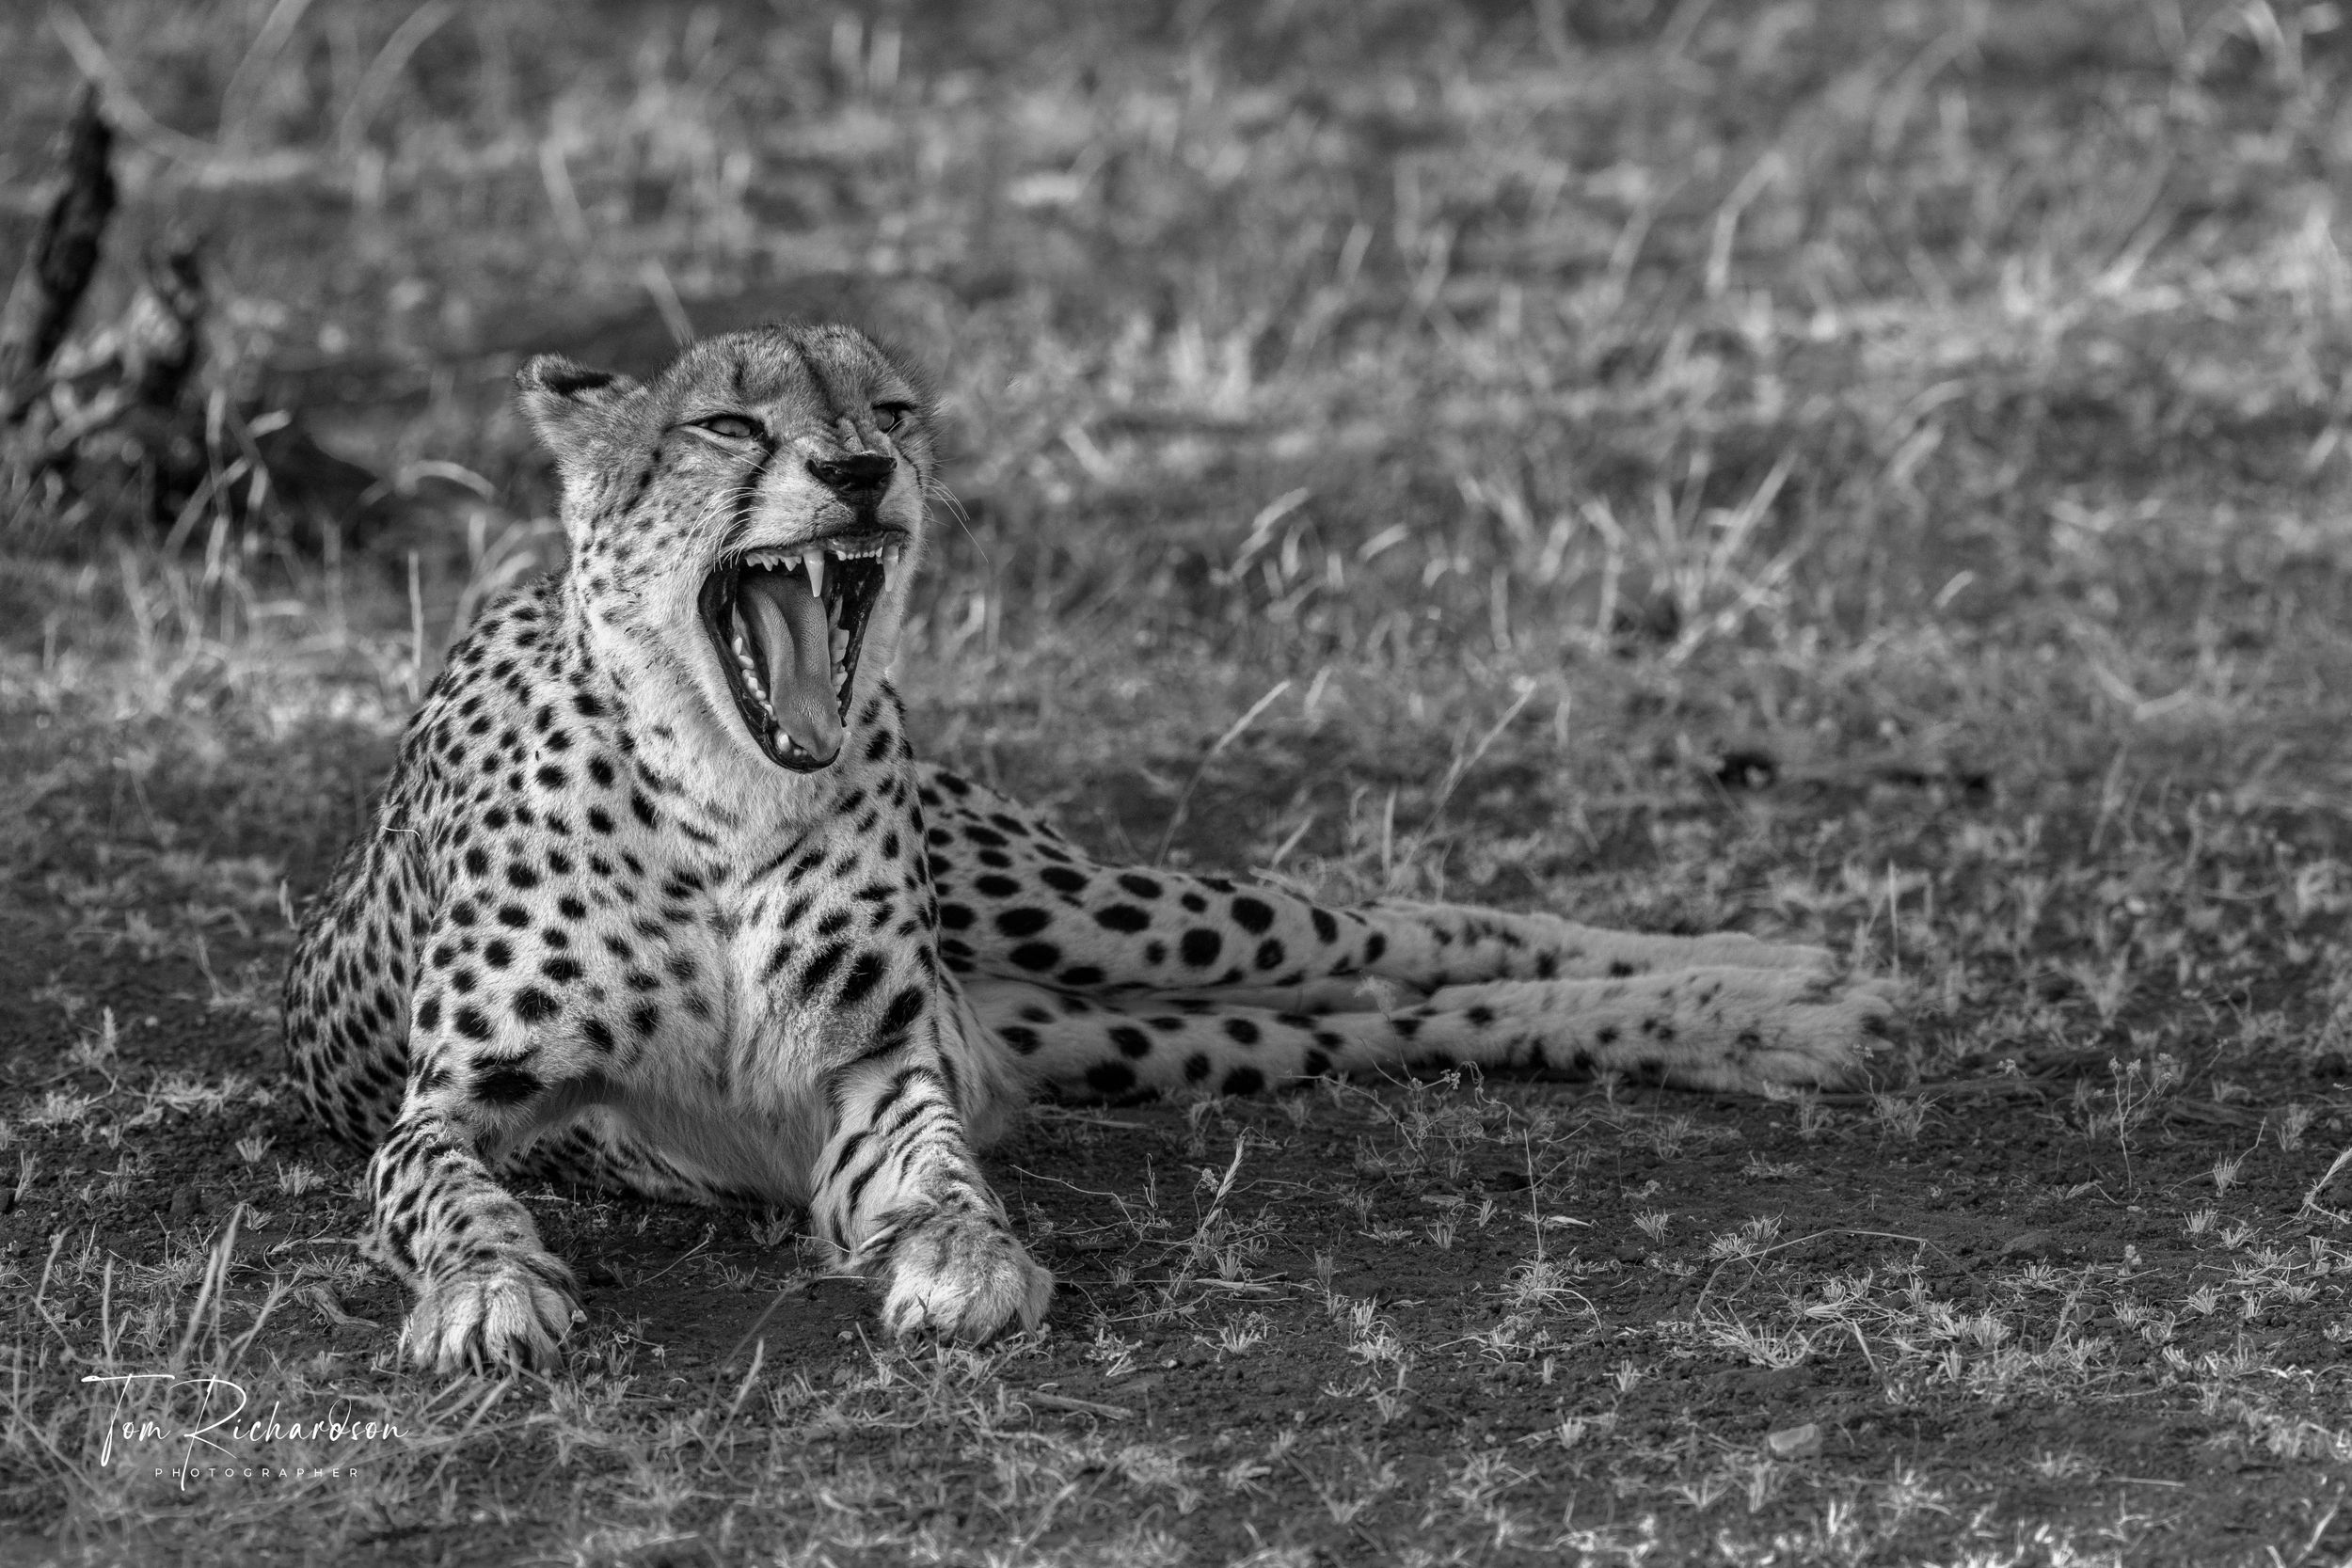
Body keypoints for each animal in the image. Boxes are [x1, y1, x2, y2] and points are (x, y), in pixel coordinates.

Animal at [283, 322, 1900, 1373]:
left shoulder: (875, 1066)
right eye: (729, 426)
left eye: (891, 407)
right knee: (1399, 1011)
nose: (861, 470)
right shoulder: (446, 1103)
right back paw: (1781, 1013)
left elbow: (938, 1168)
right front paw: (489, 1292)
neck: (722, 799)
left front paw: (966, 1259)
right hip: (1120, 1026)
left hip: (1088, 910)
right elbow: (447, 1192)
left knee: (1418, 927)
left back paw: (1776, 985)